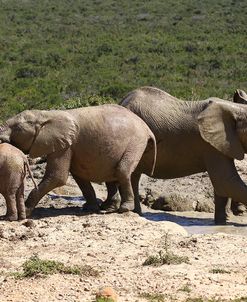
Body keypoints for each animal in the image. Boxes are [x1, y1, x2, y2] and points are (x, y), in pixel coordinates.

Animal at [0, 105, 155, 216]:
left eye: (17, 128)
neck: (46, 115)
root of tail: (147, 128)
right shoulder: (68, 145)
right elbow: (80, 178)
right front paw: (89, 209)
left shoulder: (64, 145)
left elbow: (57, 177)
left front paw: (26, 212)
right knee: (111, 174)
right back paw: (107, 208)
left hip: (136, 142)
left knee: (122, 170)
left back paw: (124, 209)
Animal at [102, 87, 247, 224]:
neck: (234, 109)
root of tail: (121, 102)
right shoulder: (210, 146)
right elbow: (225, 180)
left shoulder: (221, 144)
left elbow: (222, 184)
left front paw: (222, 223)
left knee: (132, 176)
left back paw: (133, 213)